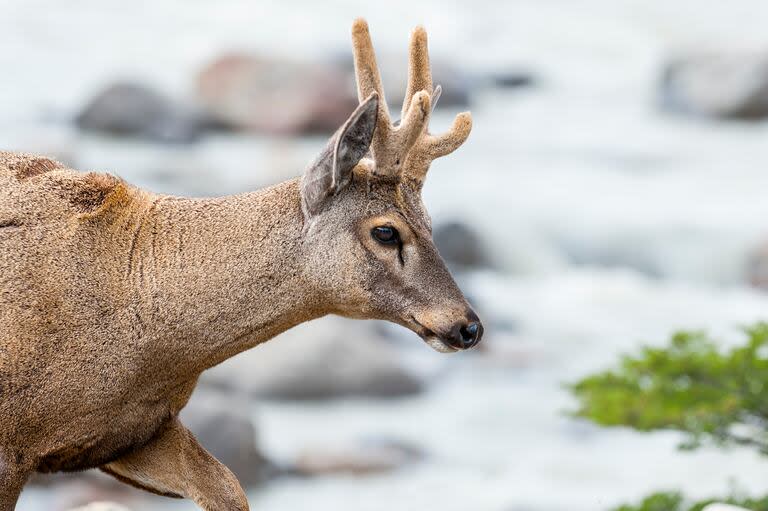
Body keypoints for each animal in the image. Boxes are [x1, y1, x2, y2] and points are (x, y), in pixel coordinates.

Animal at [0, 18, 480, 510]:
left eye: (430, 222)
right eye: (386, 231)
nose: (469, 326)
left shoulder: (137, 432)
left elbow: (230, 489)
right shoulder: (10, 446)